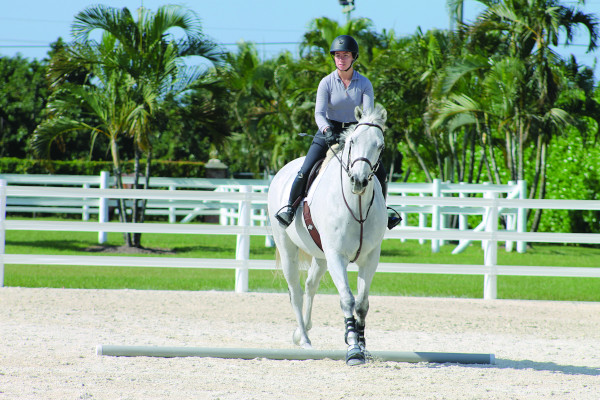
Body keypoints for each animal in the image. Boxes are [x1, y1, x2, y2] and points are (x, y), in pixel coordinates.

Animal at [268, 102, 390, 366]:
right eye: (353, 141)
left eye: (380, 145)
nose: (358, 181)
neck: (357, 205)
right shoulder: (337, 256)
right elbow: (347, 299)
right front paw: (353, 348)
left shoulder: (370, 258)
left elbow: (362, 304)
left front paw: (362, 345)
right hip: (288, 250)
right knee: (296, 291)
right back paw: (304, 340)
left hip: (321, 257)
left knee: (310, 285)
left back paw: (303, 329)